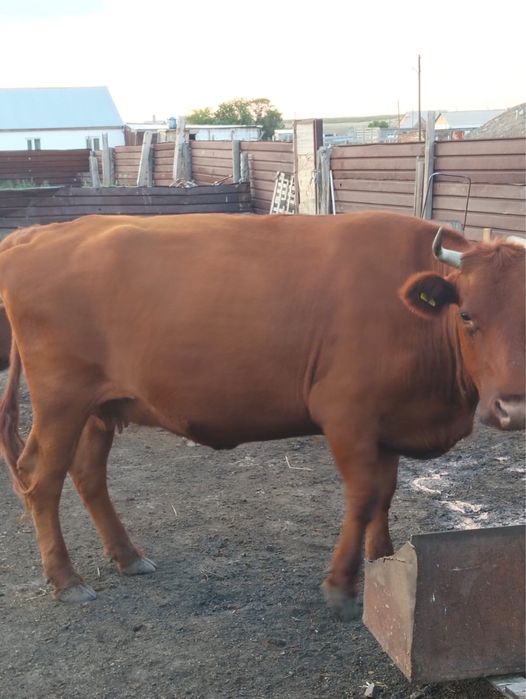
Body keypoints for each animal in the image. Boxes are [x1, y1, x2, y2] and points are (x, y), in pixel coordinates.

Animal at [0, 212, 523, 617]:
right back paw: (66, 579)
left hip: (98, 409)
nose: (512, 407)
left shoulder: (388, 422)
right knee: (41, 480)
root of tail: (36, 234)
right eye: (467, 315)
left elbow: (385, 496)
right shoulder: (346, 417)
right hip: (61, 403)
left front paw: (385, 565)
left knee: (88, 474)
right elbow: (363, 497)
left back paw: (127, 557)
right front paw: (341, 586)